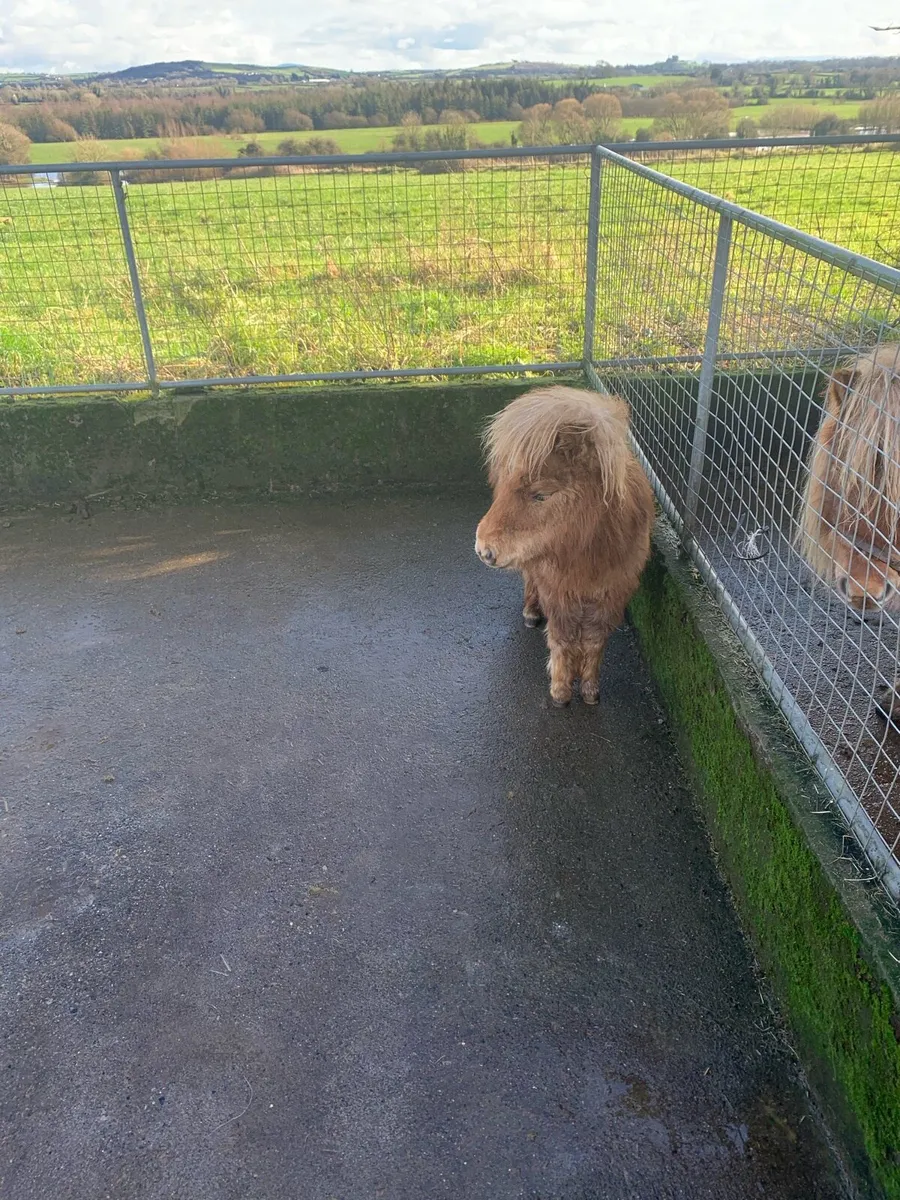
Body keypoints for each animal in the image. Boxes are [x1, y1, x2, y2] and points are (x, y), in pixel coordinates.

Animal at [474, 385, 655, 706]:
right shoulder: (557, 591)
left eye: (541, 495)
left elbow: (594, 641)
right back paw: (531, 613)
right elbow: (562, 638)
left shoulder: (613, 593)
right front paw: (560, 690)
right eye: (507, 487)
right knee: (529, 579)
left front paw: (590, 690)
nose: (485, 549)